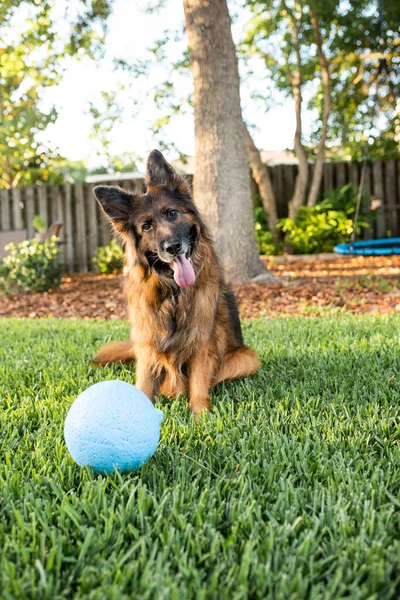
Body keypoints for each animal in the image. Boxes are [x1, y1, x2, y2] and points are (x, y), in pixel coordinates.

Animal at [92, 149, 260, 418]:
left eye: (172, 213)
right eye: (146, 226)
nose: (172, 247)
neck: (172, 294)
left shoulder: (201, 343)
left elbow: (199, 386)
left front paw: (201, 417)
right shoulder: (147, 343)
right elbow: (144, 385)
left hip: (246, 358)